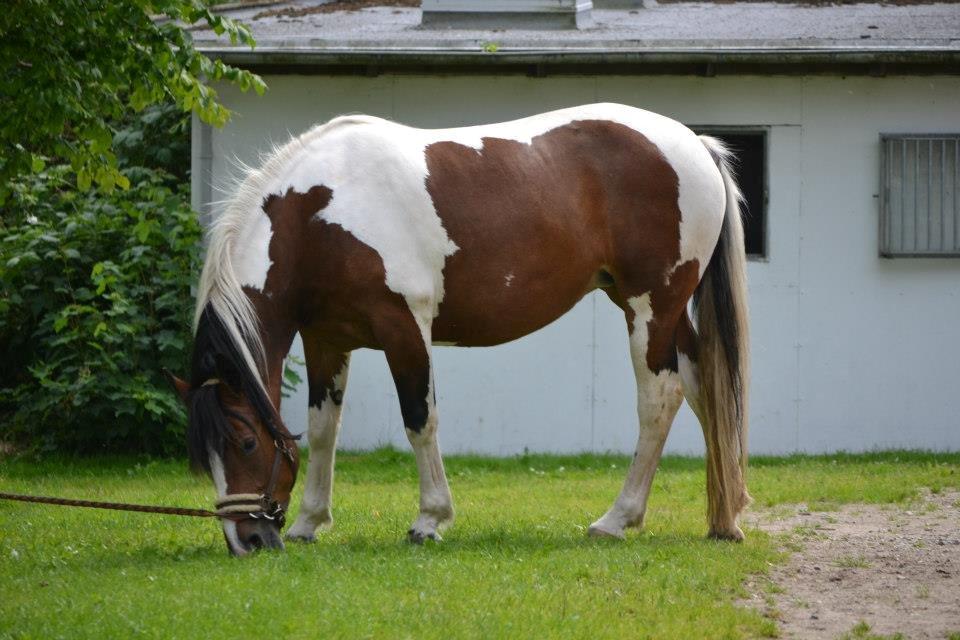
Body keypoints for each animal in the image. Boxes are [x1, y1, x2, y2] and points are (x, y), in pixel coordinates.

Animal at [167, 104, 752, 556]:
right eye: (204, 456)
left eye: (245, 443)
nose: (246, 541)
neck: (321, 213)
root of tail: (695, 144)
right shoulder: (327, 341)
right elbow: (322, 428)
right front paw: (312, 522)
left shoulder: (404, 327)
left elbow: (419, 420)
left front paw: (429, 520)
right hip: (665, 315)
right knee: (706, 389)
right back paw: (725, 520)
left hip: (649, 308)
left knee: (660, 399)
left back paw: (617, 519)